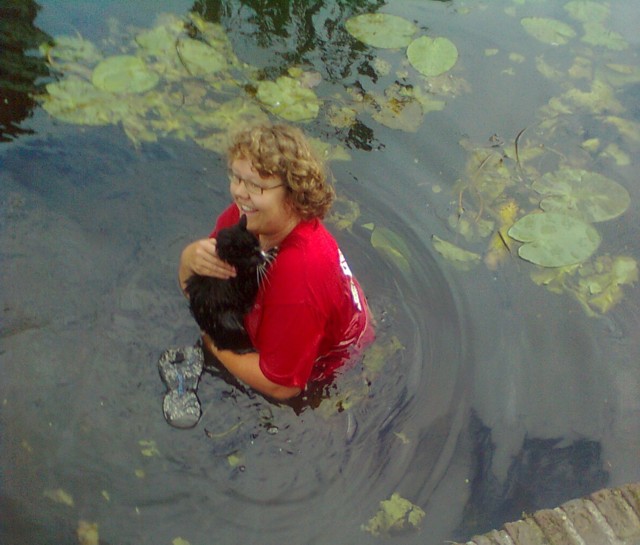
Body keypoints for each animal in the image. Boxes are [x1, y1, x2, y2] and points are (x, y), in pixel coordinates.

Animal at [184, 212, 276, 352]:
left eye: (258, 245)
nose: (261, 257)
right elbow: (255, 278)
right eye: (250, 255)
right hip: (229, 321)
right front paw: (271, 255)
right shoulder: (243, 285)